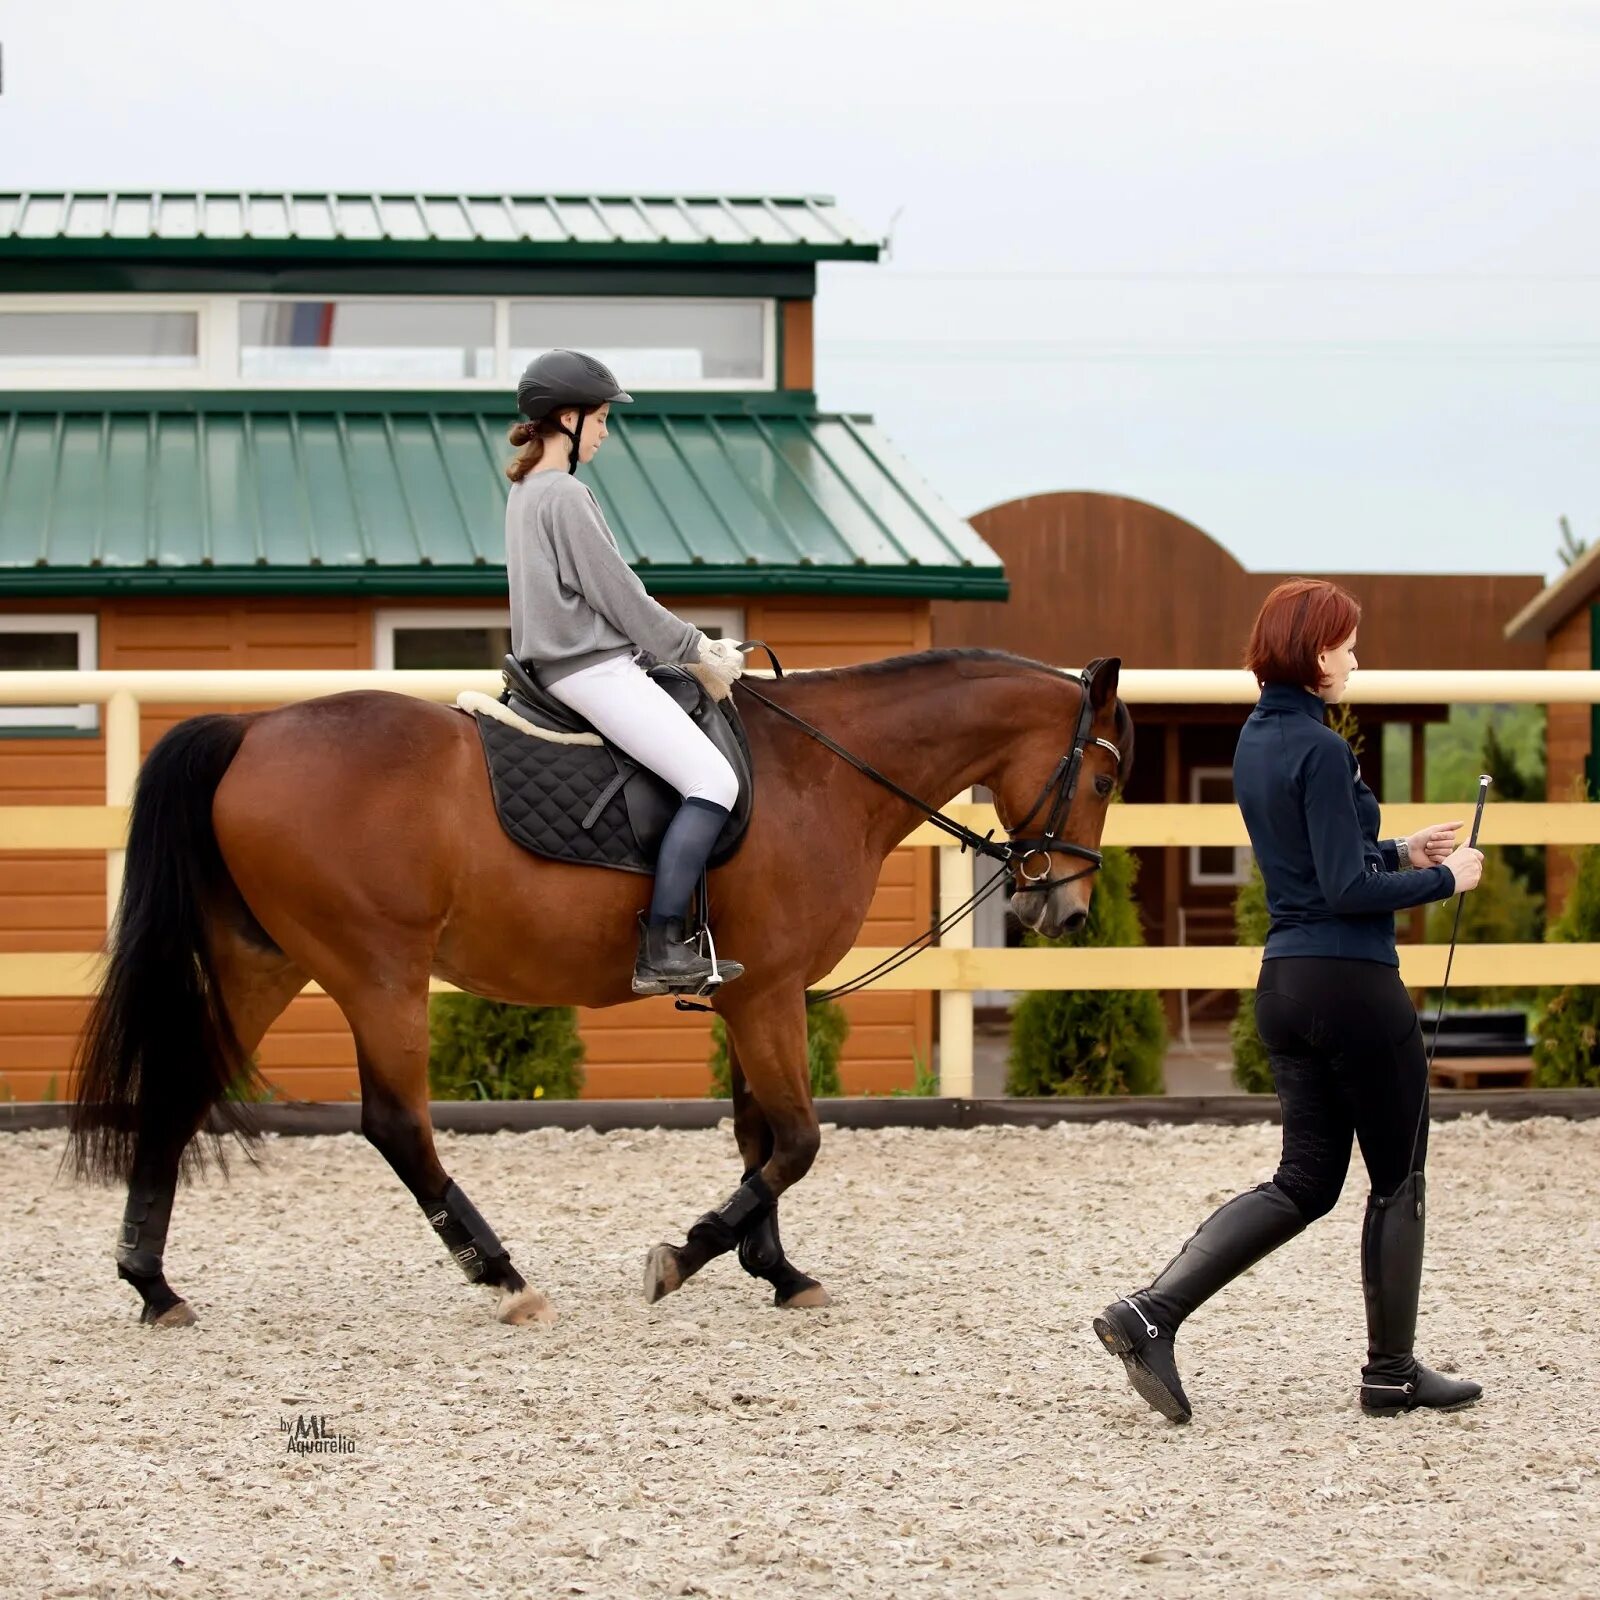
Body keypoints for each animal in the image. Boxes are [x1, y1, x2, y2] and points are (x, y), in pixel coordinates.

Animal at [72, 646, 1126, 1324]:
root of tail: (251, 732)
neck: (819, 773)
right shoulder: (768, 995)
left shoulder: (750, 994)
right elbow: (794, 1142)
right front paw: (686, 1256)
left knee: (178, 1095)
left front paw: (777, 1270)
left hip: (262, 964)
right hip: (379, 973)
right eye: (1109, 777)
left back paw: (152, 1285)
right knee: (395, 1125)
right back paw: (501, 1277)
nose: (1065, 910)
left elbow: (760, 1139)